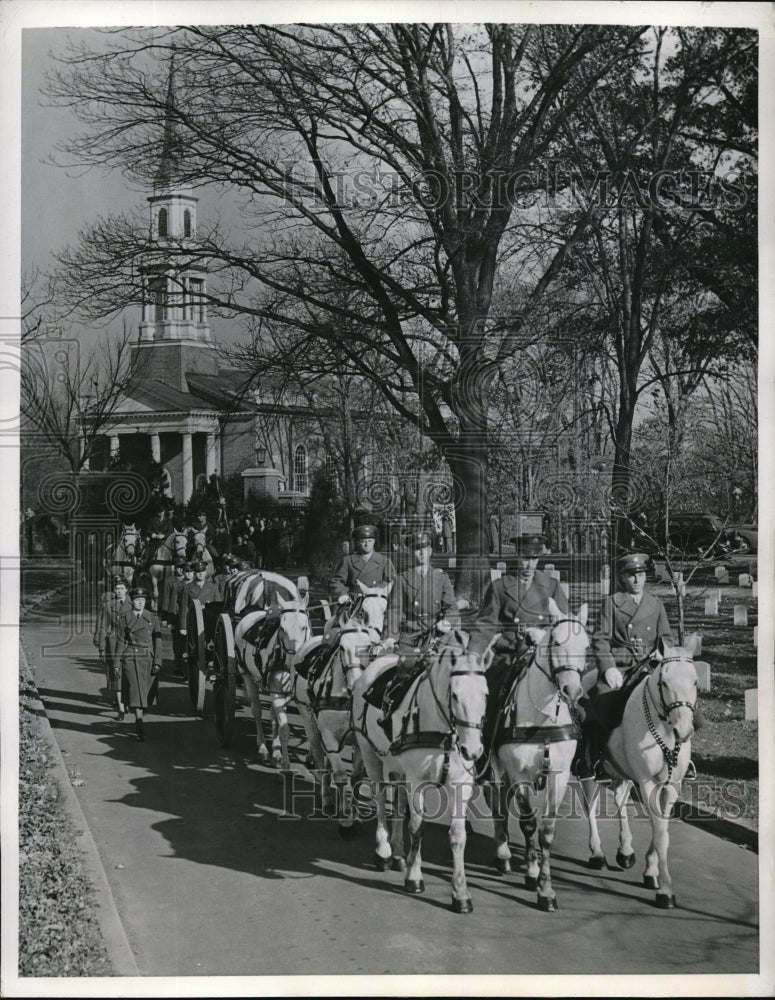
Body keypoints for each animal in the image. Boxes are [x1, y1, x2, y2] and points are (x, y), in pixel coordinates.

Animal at [233, 572, 312, 764]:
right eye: (281, 628)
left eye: (304, 626)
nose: (292, 661)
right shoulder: (278, 692)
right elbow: (284, 728)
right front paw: (284, 761)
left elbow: (278, 718)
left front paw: (278, 751)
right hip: (246, 675)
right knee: (256, 710)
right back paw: (262, 746)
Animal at [294, 584, 398, 832]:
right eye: (342, 648)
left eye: (367, 647)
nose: (355, 682)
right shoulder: (329, 737)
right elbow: (340, 775)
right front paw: (345, 817)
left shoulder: (360, 740)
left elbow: (357, 777)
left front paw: (356, 811)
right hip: (308, 720)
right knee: (320, 760)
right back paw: (326, 800)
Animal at [354, 640, 488, 916]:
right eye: (455, 694)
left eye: (486, 694)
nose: (473, 750)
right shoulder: (417, 781)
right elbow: (417, 828)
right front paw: (414, 878)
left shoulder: (461, 783)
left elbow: (458, 836)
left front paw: (461, 893)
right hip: (370, 754)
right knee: (381, 799)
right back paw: (384, 851)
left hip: (399, 769)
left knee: (398, 801)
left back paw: (397, 853)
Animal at [484, 600, 588, 916]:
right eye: (556, 642)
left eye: (587, 645)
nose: (572, 691)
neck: (543, 717)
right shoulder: (519, 774)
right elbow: (528, 823)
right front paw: (532, 874)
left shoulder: (559, 777)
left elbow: (547, 832)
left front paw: (546, 888)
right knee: (496, 803)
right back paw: (502, 852)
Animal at [580, 636, 700, 912]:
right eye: (664, 682)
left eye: (695, 681)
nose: (684, 730)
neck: (663, 727)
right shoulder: (646, 782)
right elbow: (660, 831)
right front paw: (666, 890)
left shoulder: (672, 785)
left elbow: (661, 827)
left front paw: (651, 871)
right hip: (588, 768)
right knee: (590, 804)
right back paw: (597, 853)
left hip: (620, 769)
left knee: (620, 798)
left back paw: (625, 851)